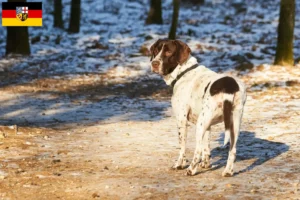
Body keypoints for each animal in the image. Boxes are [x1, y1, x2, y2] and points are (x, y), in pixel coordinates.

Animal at [149, 39, 246, 177]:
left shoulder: (181, 119)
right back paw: (228, 171)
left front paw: (179, 164)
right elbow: (206, 147)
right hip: (233, 124)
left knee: (197, 150)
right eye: (156, 50)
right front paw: (206, 164)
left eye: (168, 52)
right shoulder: (208, 124)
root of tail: (229, 87)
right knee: (232, 150)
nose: (154, 63)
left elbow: (183, 146)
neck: (184, 72)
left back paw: (191, 170)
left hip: (201, 124)